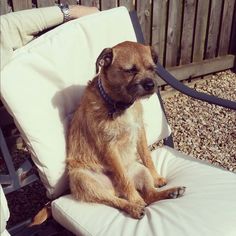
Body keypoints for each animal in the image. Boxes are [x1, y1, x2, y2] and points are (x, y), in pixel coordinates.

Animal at [66, 41, 184, 219]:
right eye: (130, 70)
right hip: (83, 179)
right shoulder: (109, 147)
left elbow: (147, 157)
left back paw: (171, 192)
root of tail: (115, 190)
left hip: (140, 170)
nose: (150, 85)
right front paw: (135, 200)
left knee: (150, 194)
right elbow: (123, 177)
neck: (121, 105)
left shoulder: (140, 132)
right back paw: (134, 206)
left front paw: (156, 177)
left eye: (152, 68)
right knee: (117, 200)